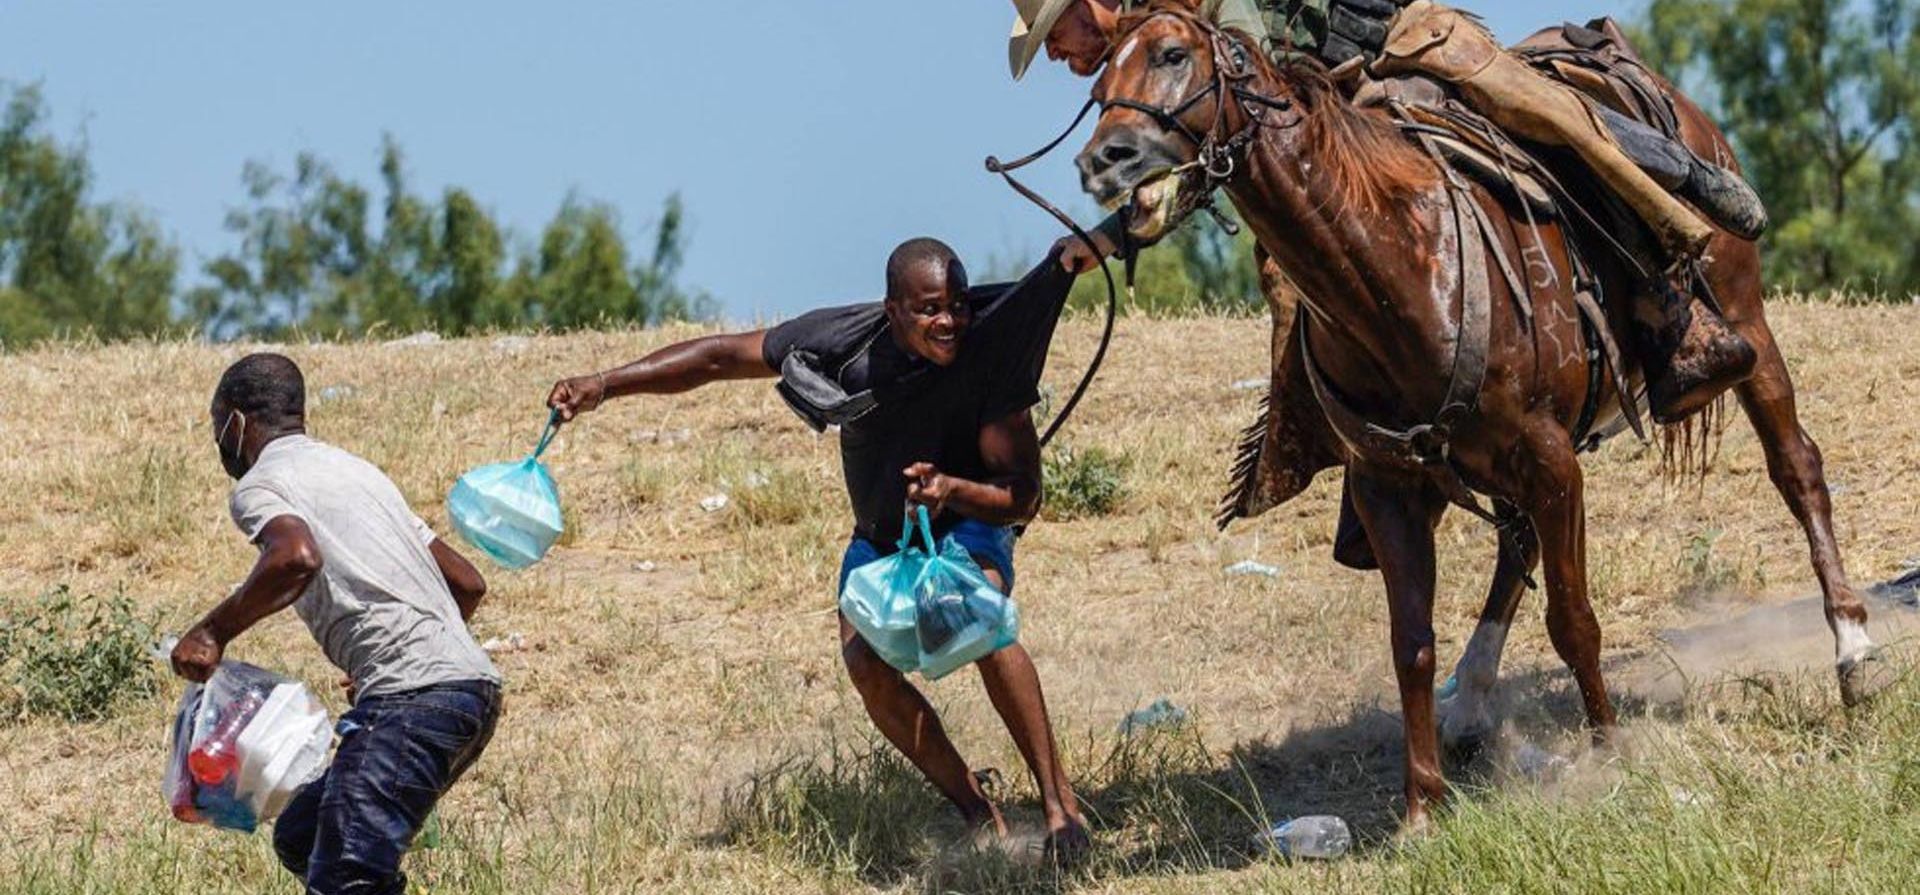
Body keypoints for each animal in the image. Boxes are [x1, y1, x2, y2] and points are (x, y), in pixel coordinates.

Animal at [1072, 0, 1886, 828]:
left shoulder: (1550, 459)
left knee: (1796, 466)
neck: (1397, 262)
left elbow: (1573, 619)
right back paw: (1470, 705)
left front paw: (1610, 752)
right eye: (1101, 80)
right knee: (1515, 543)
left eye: (1173, 55)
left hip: (1746, 322)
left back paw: (1853, 647)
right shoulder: (1390, 486)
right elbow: (1412, 642)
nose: (1104, 160)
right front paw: (1421, 807)